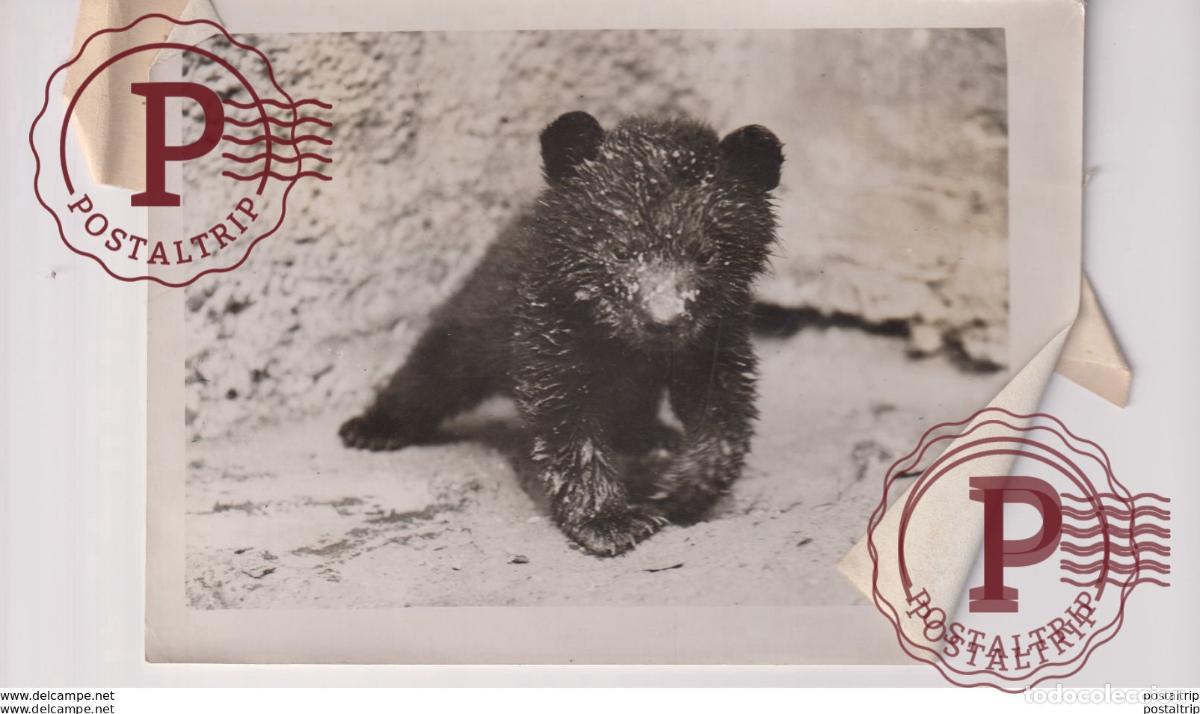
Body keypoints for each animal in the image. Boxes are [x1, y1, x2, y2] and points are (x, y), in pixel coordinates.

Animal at [339, 111, 784, 556]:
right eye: (620, 250)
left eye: (707, 254)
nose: (664, 320)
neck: (625, 342)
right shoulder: (551, 325)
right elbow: (567, 420)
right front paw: (610, 522)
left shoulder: (715, 334)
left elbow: (723, 411)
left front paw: (677, 492)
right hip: (479, 319)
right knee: (435, 369)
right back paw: (370, 428)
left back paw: (651, 435)